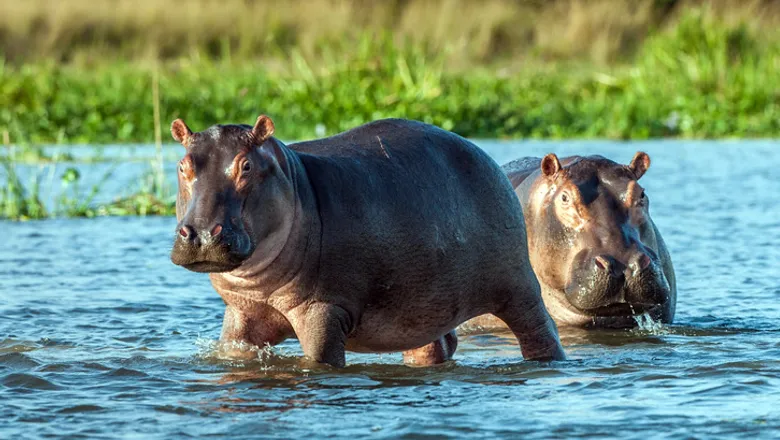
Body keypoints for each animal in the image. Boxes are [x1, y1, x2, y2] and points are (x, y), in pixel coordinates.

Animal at [169, 115, 565, 367]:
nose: (201, 233)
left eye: (246, 166)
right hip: (422, 305)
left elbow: (320, 360)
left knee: (539, 330)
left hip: (518, 287)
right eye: (182, 166)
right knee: (434, 346)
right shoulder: (242, 312)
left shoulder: (323, 310)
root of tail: (486, 157)